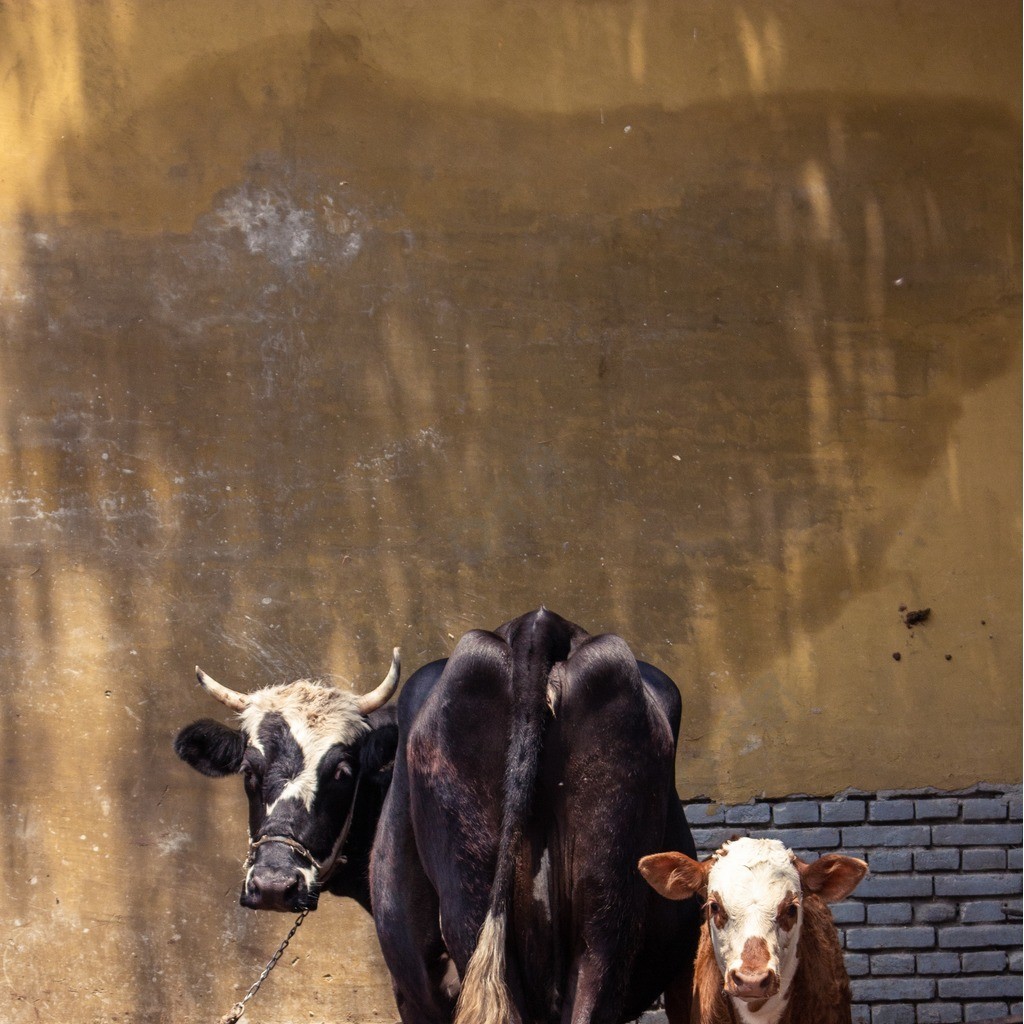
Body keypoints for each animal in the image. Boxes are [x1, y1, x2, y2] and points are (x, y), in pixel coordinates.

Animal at [178, 610, 704, 1019]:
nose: (273, 884)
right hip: (604, 923)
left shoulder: (413, 993)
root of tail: (539, 625)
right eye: (249, 770)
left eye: (343, 771)